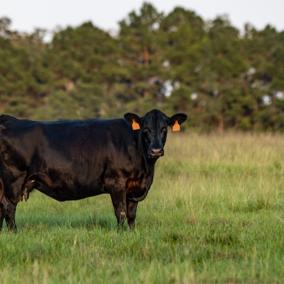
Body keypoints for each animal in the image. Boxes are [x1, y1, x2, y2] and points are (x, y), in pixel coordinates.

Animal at [0, 109, 186, 231]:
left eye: (164, 128)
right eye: (145, 128)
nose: (156, 150)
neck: (145, 169)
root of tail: (10, 120)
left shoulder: (134, 186)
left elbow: (132, 214)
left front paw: (133, 233)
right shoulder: (116, 181)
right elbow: (121, 212)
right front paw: (121, 234)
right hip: (13, 179)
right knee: (9, 205)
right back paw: (14, 232)